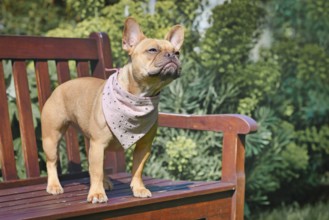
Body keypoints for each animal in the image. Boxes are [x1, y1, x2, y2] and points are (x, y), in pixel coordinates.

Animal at [40, 16, 183, 203]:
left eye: (178, 52)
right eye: (152, 50)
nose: (172, 55)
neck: (141, 96)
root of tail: (58, 88)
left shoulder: (143, 146)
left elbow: (137, 169)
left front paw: (139, 188)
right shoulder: (98, 144)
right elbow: (95, 171)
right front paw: (96, 193)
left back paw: (106, 182)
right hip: (52, 137)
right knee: (52, 162)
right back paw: (54, 185)